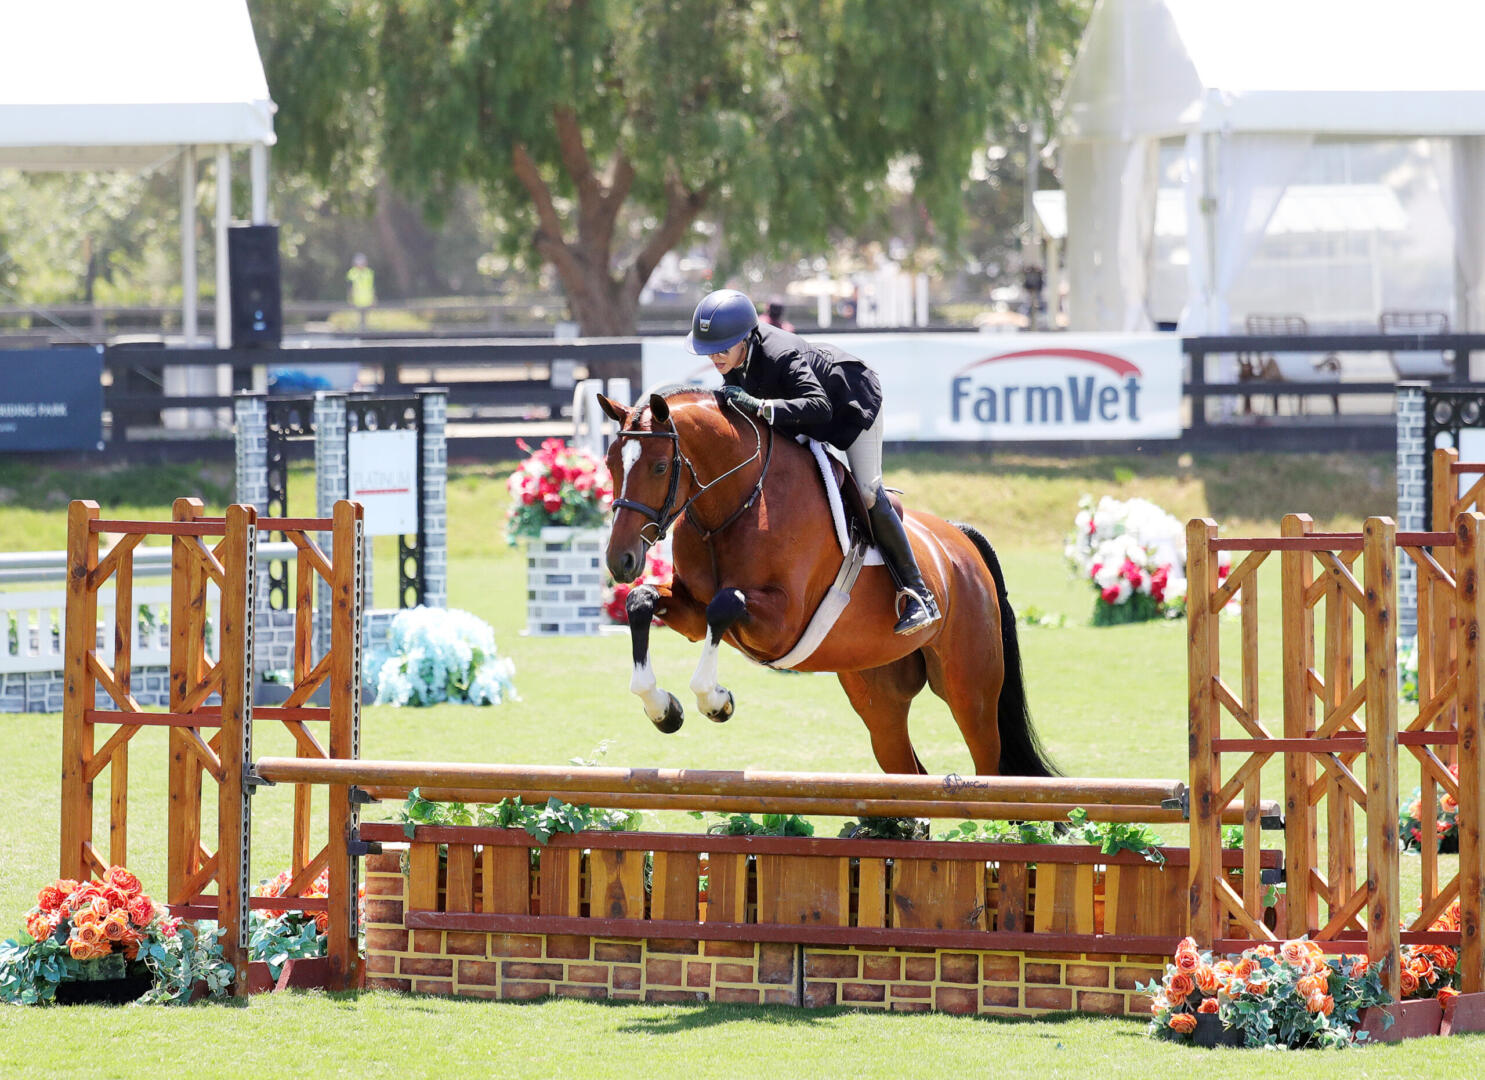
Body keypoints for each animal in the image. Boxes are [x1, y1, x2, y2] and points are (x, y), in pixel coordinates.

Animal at [594, 389, 1057, 778]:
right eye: (611, 465)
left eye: (658, 467)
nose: (621, 560)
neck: (735, 505)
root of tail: (961, 541)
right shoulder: (691, 613)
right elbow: (642, 602)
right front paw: (663, 709)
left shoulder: (781, 623)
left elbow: (725, 604)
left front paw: (715, 700)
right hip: (877, 691)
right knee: (907, 768)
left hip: (970, 689)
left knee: (990, 765)